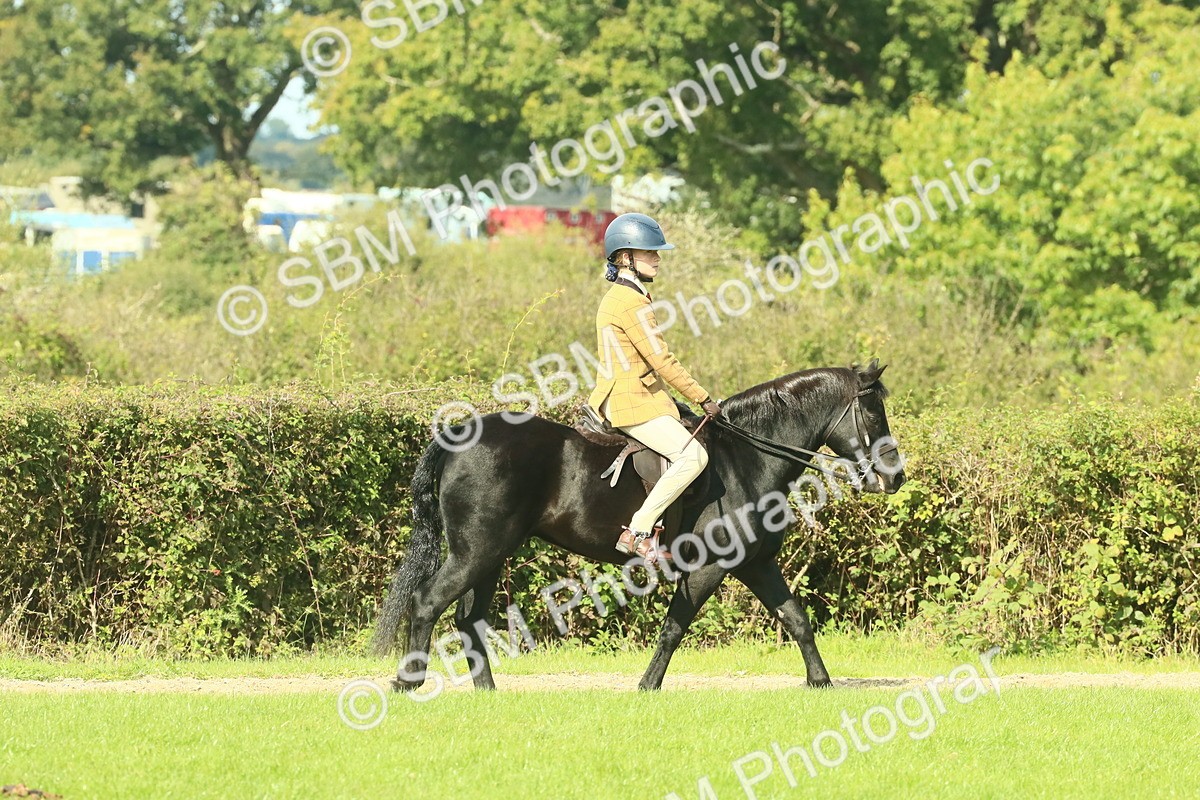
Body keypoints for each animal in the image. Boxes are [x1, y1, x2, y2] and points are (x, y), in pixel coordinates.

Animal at [372, 359, 906, 691]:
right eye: (872, 411)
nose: (895, 477)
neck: (747, 458)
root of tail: (460, 434)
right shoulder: (711, 568)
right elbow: (674, 627)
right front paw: (648, 685)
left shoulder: (755, 564)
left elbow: (796, 618)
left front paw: (821, 682)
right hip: (476, 551)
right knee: (428, 602)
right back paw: (408, 682)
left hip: (489, 555)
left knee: (468, 618)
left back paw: (487, 691)